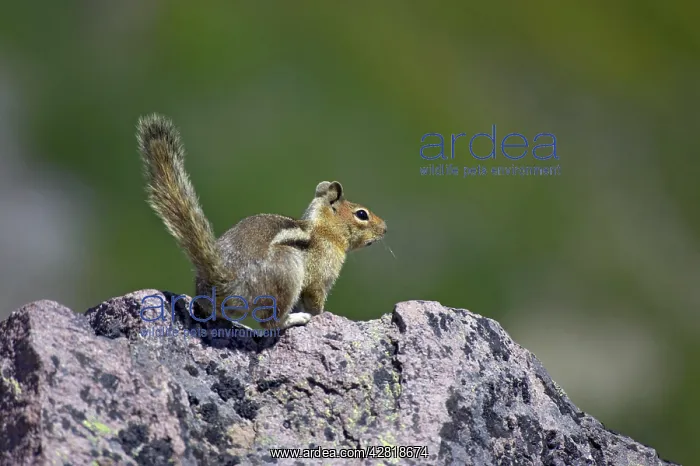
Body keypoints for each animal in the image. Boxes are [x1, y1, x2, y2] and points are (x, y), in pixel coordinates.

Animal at [136, 113, 387, 331]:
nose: (385, 229)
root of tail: (225, 282)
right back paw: (295, 319)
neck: (325, 231)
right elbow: (315, 301)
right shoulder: (320, 277)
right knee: (271, 322)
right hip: (287, 270)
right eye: (362, 214)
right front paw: (322, 315)